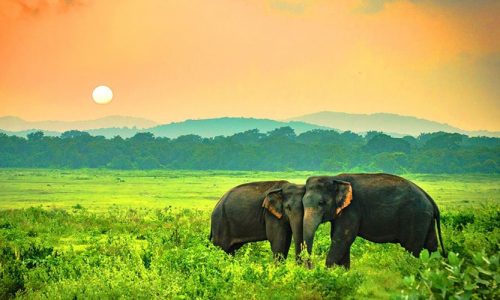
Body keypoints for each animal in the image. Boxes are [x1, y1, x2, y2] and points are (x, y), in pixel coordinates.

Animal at [300, 172, 446, 268]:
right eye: (302, 203)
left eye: (321, 203)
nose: (310, 266)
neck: (334, 178)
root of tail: (429, 199)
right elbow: (340, 239)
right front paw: (343, 273)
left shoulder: (352, 209)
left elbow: (342, 238)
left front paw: (329, 272)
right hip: (425, 219)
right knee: (431, 245)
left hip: (416, 218)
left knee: (412, 248)